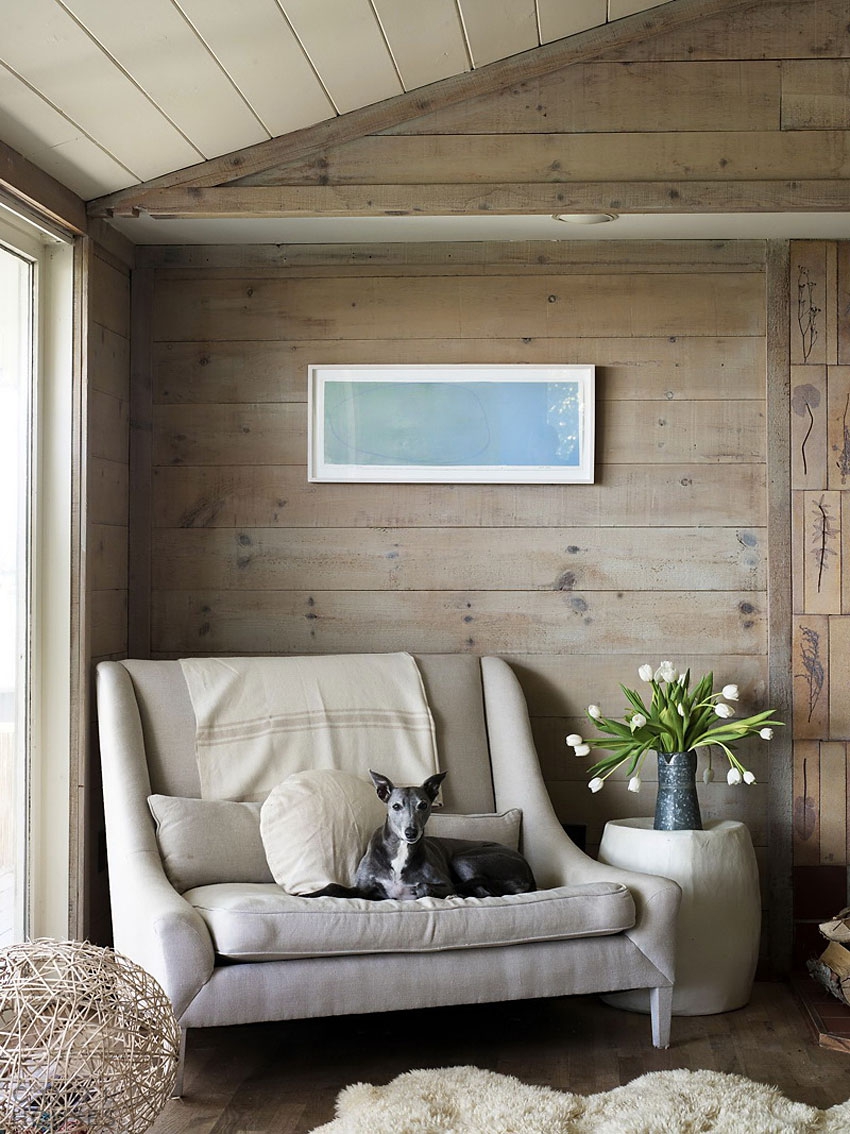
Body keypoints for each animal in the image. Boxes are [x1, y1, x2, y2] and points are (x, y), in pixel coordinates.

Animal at [353, 766, 539, 898]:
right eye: (396, 806)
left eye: (423, 805)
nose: (411, 833)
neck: (401, 850)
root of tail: (530, 875)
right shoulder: (361, 886)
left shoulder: (445, 883)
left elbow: (426, 885)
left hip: (464, 858)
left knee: (485, 892)